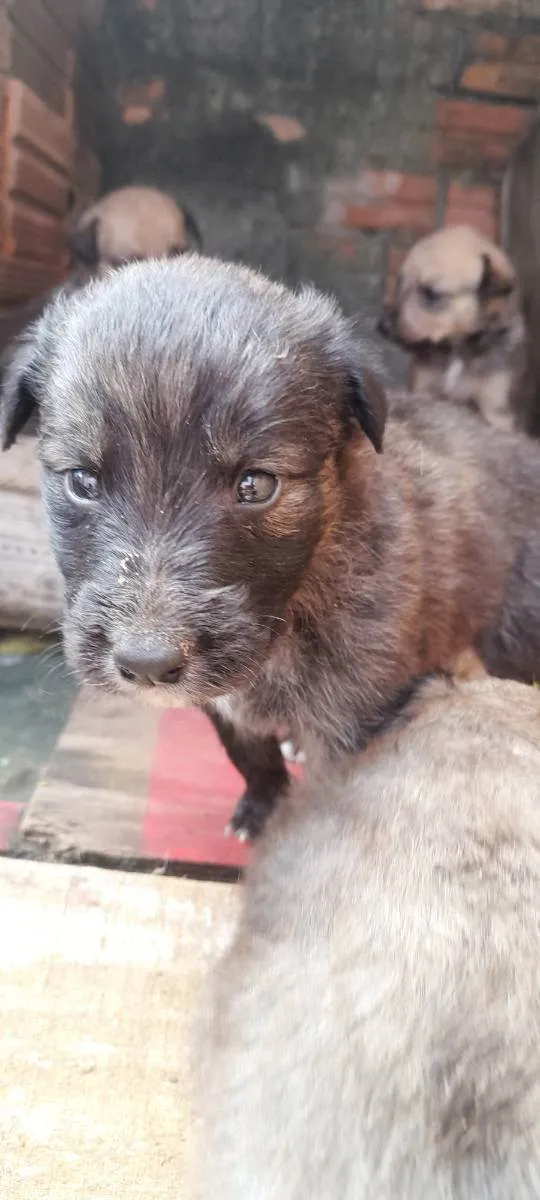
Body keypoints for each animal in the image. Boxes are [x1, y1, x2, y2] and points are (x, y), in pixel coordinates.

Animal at [3, 254, 540, 840]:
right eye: (82, 480)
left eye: (256, 485)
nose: (147, 662)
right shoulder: (223, 704)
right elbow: (249, 756)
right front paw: (259, 808)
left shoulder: (355, 715)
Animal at [376, 225, 525, 432]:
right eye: (400, 283)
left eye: (431, 294)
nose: (383, 326)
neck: (456, 349)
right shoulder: (423, 391)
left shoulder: (495, 411)